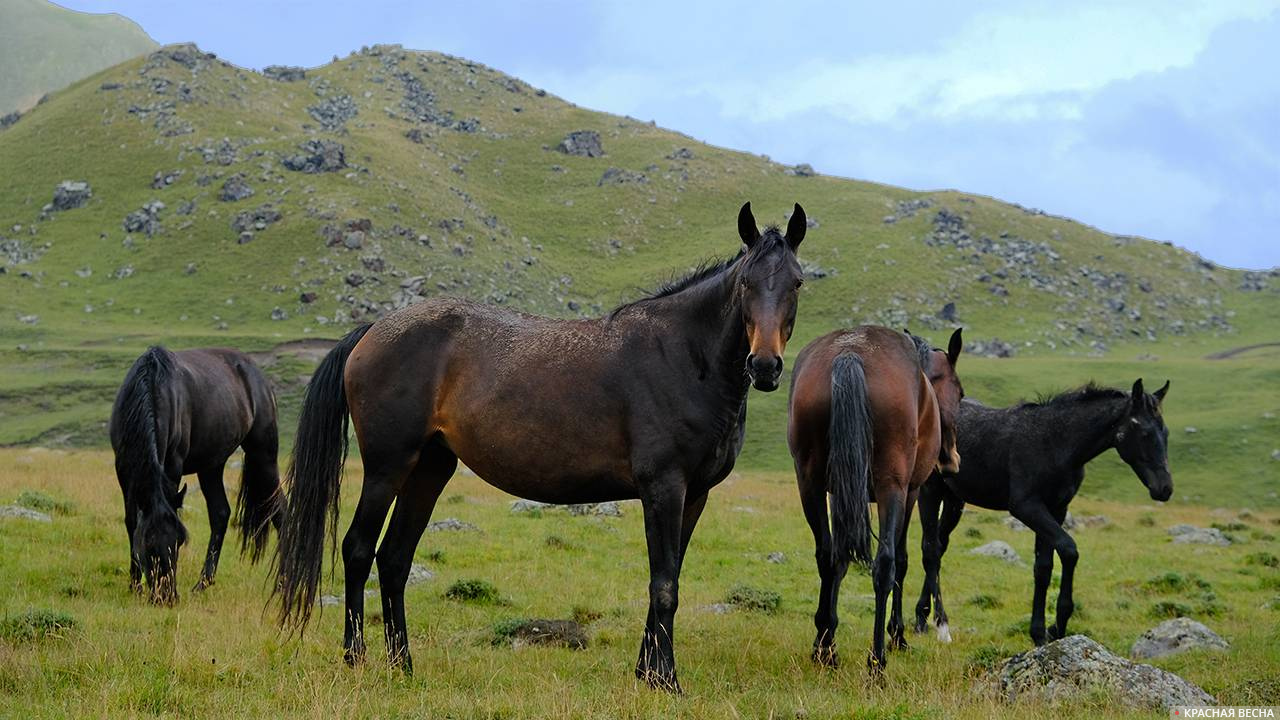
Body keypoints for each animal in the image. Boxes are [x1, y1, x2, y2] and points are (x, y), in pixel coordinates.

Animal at [109, 345, 282, 602]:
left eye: (180, 542)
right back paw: (203, 582)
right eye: (148, 543)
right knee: (220, 513)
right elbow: (131, 522)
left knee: (280, 510)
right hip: (211, 466)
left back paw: (283, 583)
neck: (151, 388)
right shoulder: (123, 469)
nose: (166, 597)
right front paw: (134, 585)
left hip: (263, 456)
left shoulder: (173, 466)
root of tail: (258, 376)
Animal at [275, 202, 803, 691]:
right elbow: (664, 586)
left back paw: (403, 665)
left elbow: (668, 579)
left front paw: (646, 673)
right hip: (388, 469)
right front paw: (666, 680)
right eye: (746, 284)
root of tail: (373, 330)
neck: (682, 356)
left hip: (430, 470)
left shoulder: (694, 496)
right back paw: (355, 658)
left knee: (394, 560)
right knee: (359, 549)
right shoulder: (664, 488)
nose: (765, 366)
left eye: (796, 282)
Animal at [788, 325, 962, 671]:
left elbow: (839, 561)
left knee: (826, 556)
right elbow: (902, 560)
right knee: (885, 564)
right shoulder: (910, 492)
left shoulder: (838, 492)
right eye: (960, 392)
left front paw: (826, 634)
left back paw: (825, 651)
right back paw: (877, 660)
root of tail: (850, 353)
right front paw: (898, 634)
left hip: (810, 484)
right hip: (890, 487)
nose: (951, 460)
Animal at [916, 379, 1172, 640]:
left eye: (1166, 433)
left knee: (940, 545)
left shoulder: (1057, 509)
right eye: (1145, 433)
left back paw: (922, 617)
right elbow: (1068, 550)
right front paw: (1057, 626)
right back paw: (939, 623)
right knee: (931, 550)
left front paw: (1040, 632)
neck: (1055, 445)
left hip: (954, 500)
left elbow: (1043, 568)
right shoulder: (1026, 506)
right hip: (929, 491)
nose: (1164, 489)